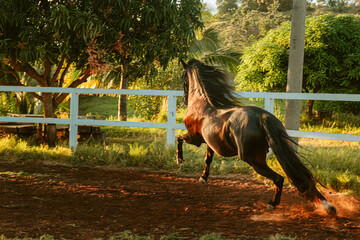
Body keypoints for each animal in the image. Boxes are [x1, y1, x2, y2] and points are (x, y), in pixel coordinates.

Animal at [177, 58, 338, 216]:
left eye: (183, 77)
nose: (184, 99)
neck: (200, 105)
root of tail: (262, 116)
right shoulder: (209, 143)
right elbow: (208, 159)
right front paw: (203, 178)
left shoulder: (195, 139)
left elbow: (179, 138)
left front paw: (179, 159)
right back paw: (327, 206)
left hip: (253, 159)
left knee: (279, 178)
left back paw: (272, 204)